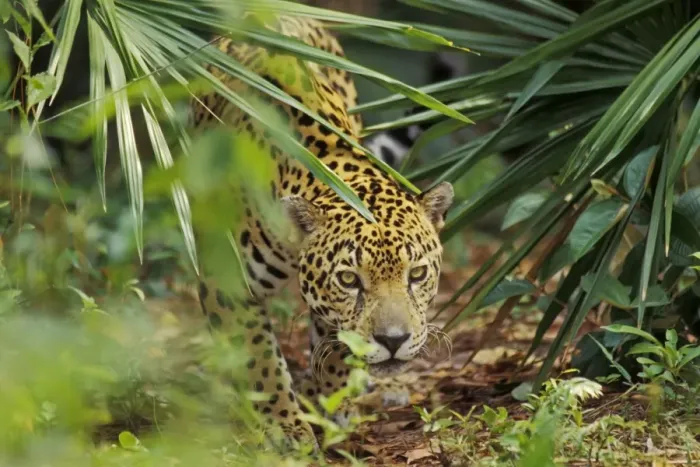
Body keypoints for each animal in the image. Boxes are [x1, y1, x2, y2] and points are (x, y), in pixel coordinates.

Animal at [190, 15, 454, 449]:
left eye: (416, 274)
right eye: (349, 280)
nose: (393, 341)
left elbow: (334, 343)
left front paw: (334, 403)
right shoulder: (227, 281)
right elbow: (260, 358)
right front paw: (285, 428)